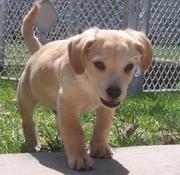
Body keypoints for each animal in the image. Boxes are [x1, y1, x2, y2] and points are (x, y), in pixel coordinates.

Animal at [17, 2, 152, 170]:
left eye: (129, 67)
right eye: (99, 64)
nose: (114, 92)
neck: (89, 87)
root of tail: (39, 50)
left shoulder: (105, 108)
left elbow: (102, 127)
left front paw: (99, 148)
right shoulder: (68, 104)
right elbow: (75, 131)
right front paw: (80, 157)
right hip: (26, 98)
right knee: (28, 121)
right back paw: (32, 143)